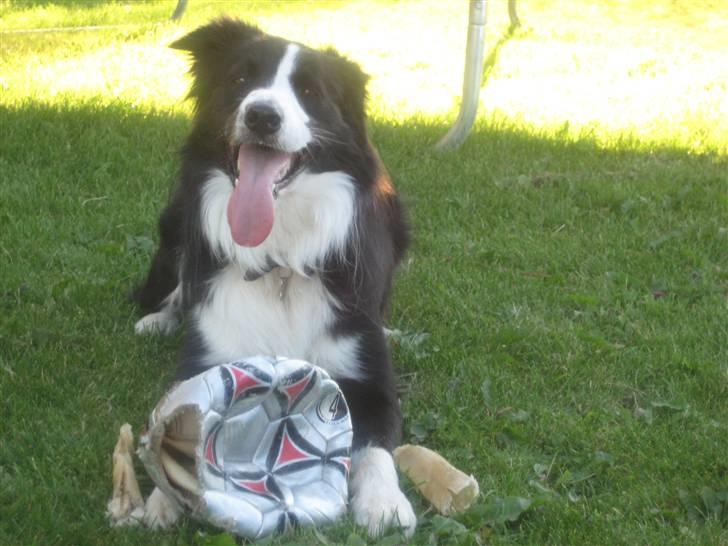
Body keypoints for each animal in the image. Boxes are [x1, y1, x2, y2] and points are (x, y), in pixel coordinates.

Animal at [131, 18, 416, 536]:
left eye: (310, 91)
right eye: (241, 78)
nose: (262, 115)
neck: (280, 260)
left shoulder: (371, 380)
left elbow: (376, 448)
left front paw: (384, 504)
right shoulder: (209, 360)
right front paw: (165, 496)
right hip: (178, 217)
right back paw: (157, 319)